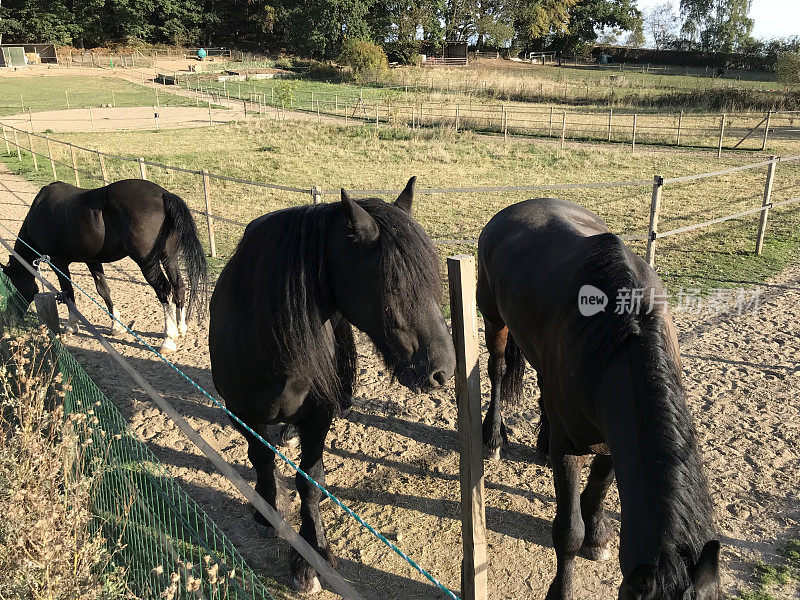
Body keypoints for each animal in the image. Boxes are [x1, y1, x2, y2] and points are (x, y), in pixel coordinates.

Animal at [1, 180, 206, 354]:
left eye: (15, 283)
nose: (11, 319)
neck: (39, 210)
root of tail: (163, 195)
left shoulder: (59, 262)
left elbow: (68, 292)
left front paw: (71, 325)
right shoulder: (92, 260)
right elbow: (103, 290)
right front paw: (116, 326)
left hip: (147, 263)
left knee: (164, 290)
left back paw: (168, 339)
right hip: (169, 257)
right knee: (179, 287)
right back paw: (181, 328)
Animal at [208, 178, 456, 596]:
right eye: (392, 290)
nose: (445, 371)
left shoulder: (317, 417)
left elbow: (310, 481)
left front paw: (311, 557)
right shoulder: (242, 413)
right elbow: (261, 459)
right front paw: (267, 512)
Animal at [478, 200, 720, 600]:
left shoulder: (611, 441)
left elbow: (596, 494)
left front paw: (598, 537)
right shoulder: (571, 449)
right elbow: (568, 533)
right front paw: (562, 589)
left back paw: (542, 440)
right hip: (493, 317)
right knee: (496, 369)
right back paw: (494, 436)